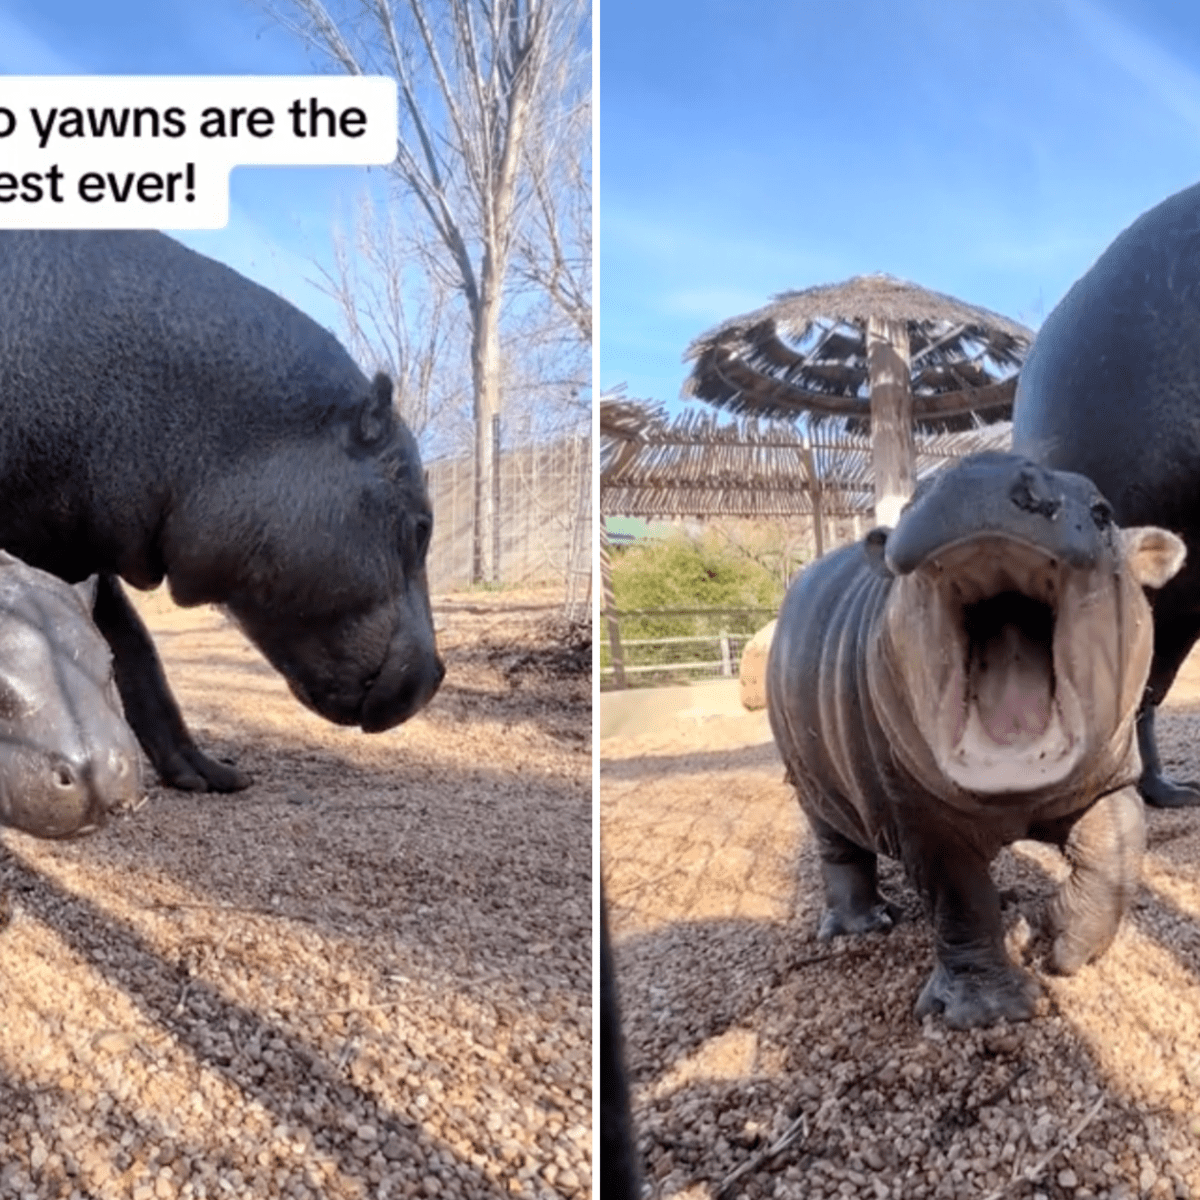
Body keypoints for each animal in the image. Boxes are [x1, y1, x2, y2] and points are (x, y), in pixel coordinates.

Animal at [768, 453, 1180, 1027]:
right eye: (911, 502)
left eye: (1103, 511)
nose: (981, 472)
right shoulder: (919, 814)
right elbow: (960, 901)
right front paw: (991, 1011)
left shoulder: (1109, 779)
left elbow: (1117, 852)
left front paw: (1051, 943)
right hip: (812, 788)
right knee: (840, 850)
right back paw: (865, 926)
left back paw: (1004, 902)